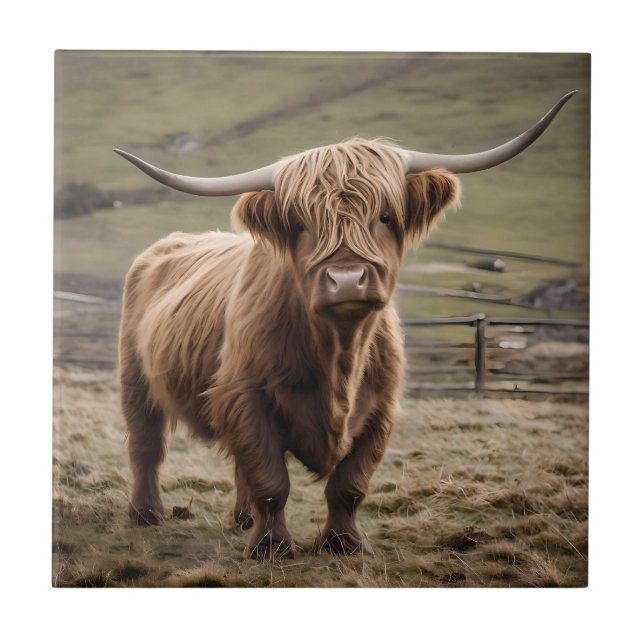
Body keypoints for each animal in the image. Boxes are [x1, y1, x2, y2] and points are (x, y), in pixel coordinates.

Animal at [115, 91, 575, 559]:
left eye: (386, 216)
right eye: (300, 223)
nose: (348, 279)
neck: (340, 354)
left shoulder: (380, 410)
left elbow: (349, 484)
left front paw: (344, 543)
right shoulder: (246, 396)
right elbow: (270, 479)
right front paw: (272, 548)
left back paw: (241, 518)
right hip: (135, 379)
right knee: (147, 445)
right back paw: (147, 513)